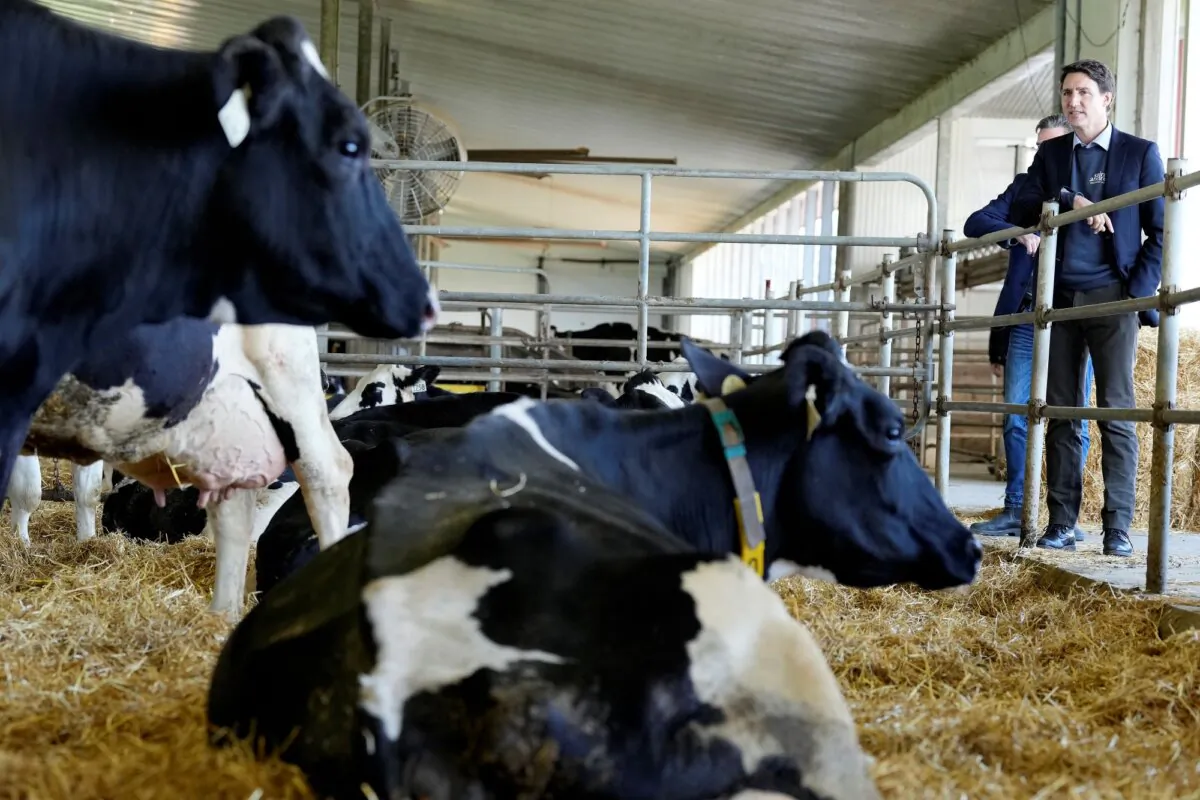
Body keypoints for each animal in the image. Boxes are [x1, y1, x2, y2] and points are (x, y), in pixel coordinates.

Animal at [6, 317, 351, 617]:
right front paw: (80, 543)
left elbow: (39, 491)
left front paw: (27, 545)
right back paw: (220, 615)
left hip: (286, 383)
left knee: (326, 477)